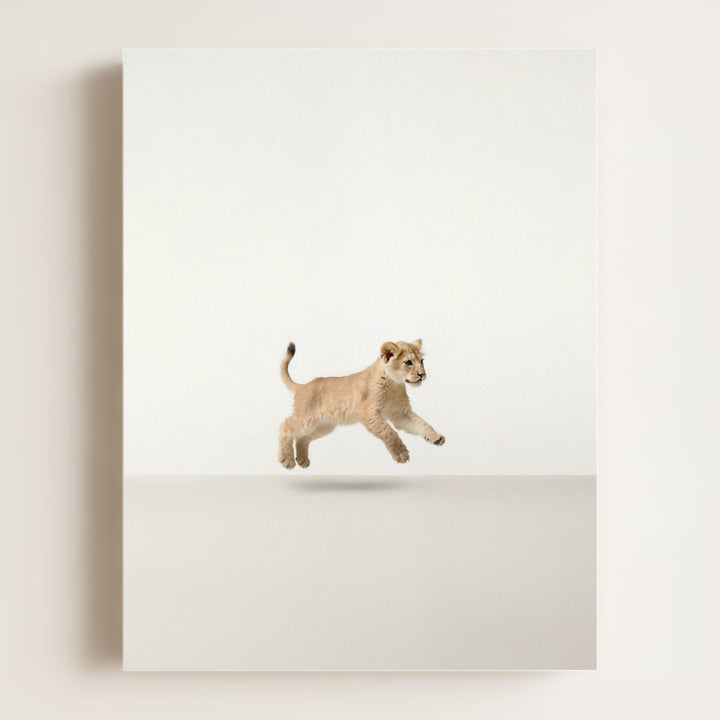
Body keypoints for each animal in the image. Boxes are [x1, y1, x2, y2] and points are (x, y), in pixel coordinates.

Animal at [278, 339, 445, 469]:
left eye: (422, 361)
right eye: (408, 362)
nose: (422, 374)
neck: (395, 384)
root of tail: (304, 386)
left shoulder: (400, 413)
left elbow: (421, 423)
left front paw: (435, 437)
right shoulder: (368, 413)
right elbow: (388, 432)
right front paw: (401, 453)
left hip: (323, 426)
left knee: (302, 438)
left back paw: (302, 460)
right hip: (307, 419)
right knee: (286, 426)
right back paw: (286, 459)